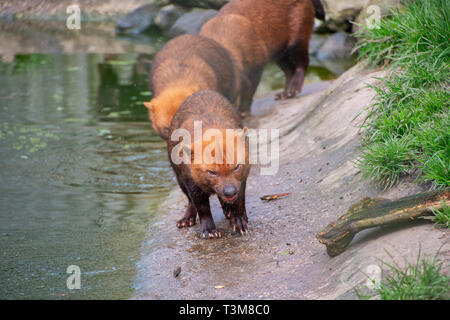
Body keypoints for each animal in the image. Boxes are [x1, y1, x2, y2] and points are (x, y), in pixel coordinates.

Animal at [167, 90, 250, 238]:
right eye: (211, 172)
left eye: (237, 167)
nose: (229, 191)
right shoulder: (191, 180)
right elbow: (202, 206)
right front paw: (209, 230)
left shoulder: (242, 179)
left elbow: (240, 200)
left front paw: (239, 222)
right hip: (179, 178)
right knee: (190, 200)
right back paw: (186, 219)